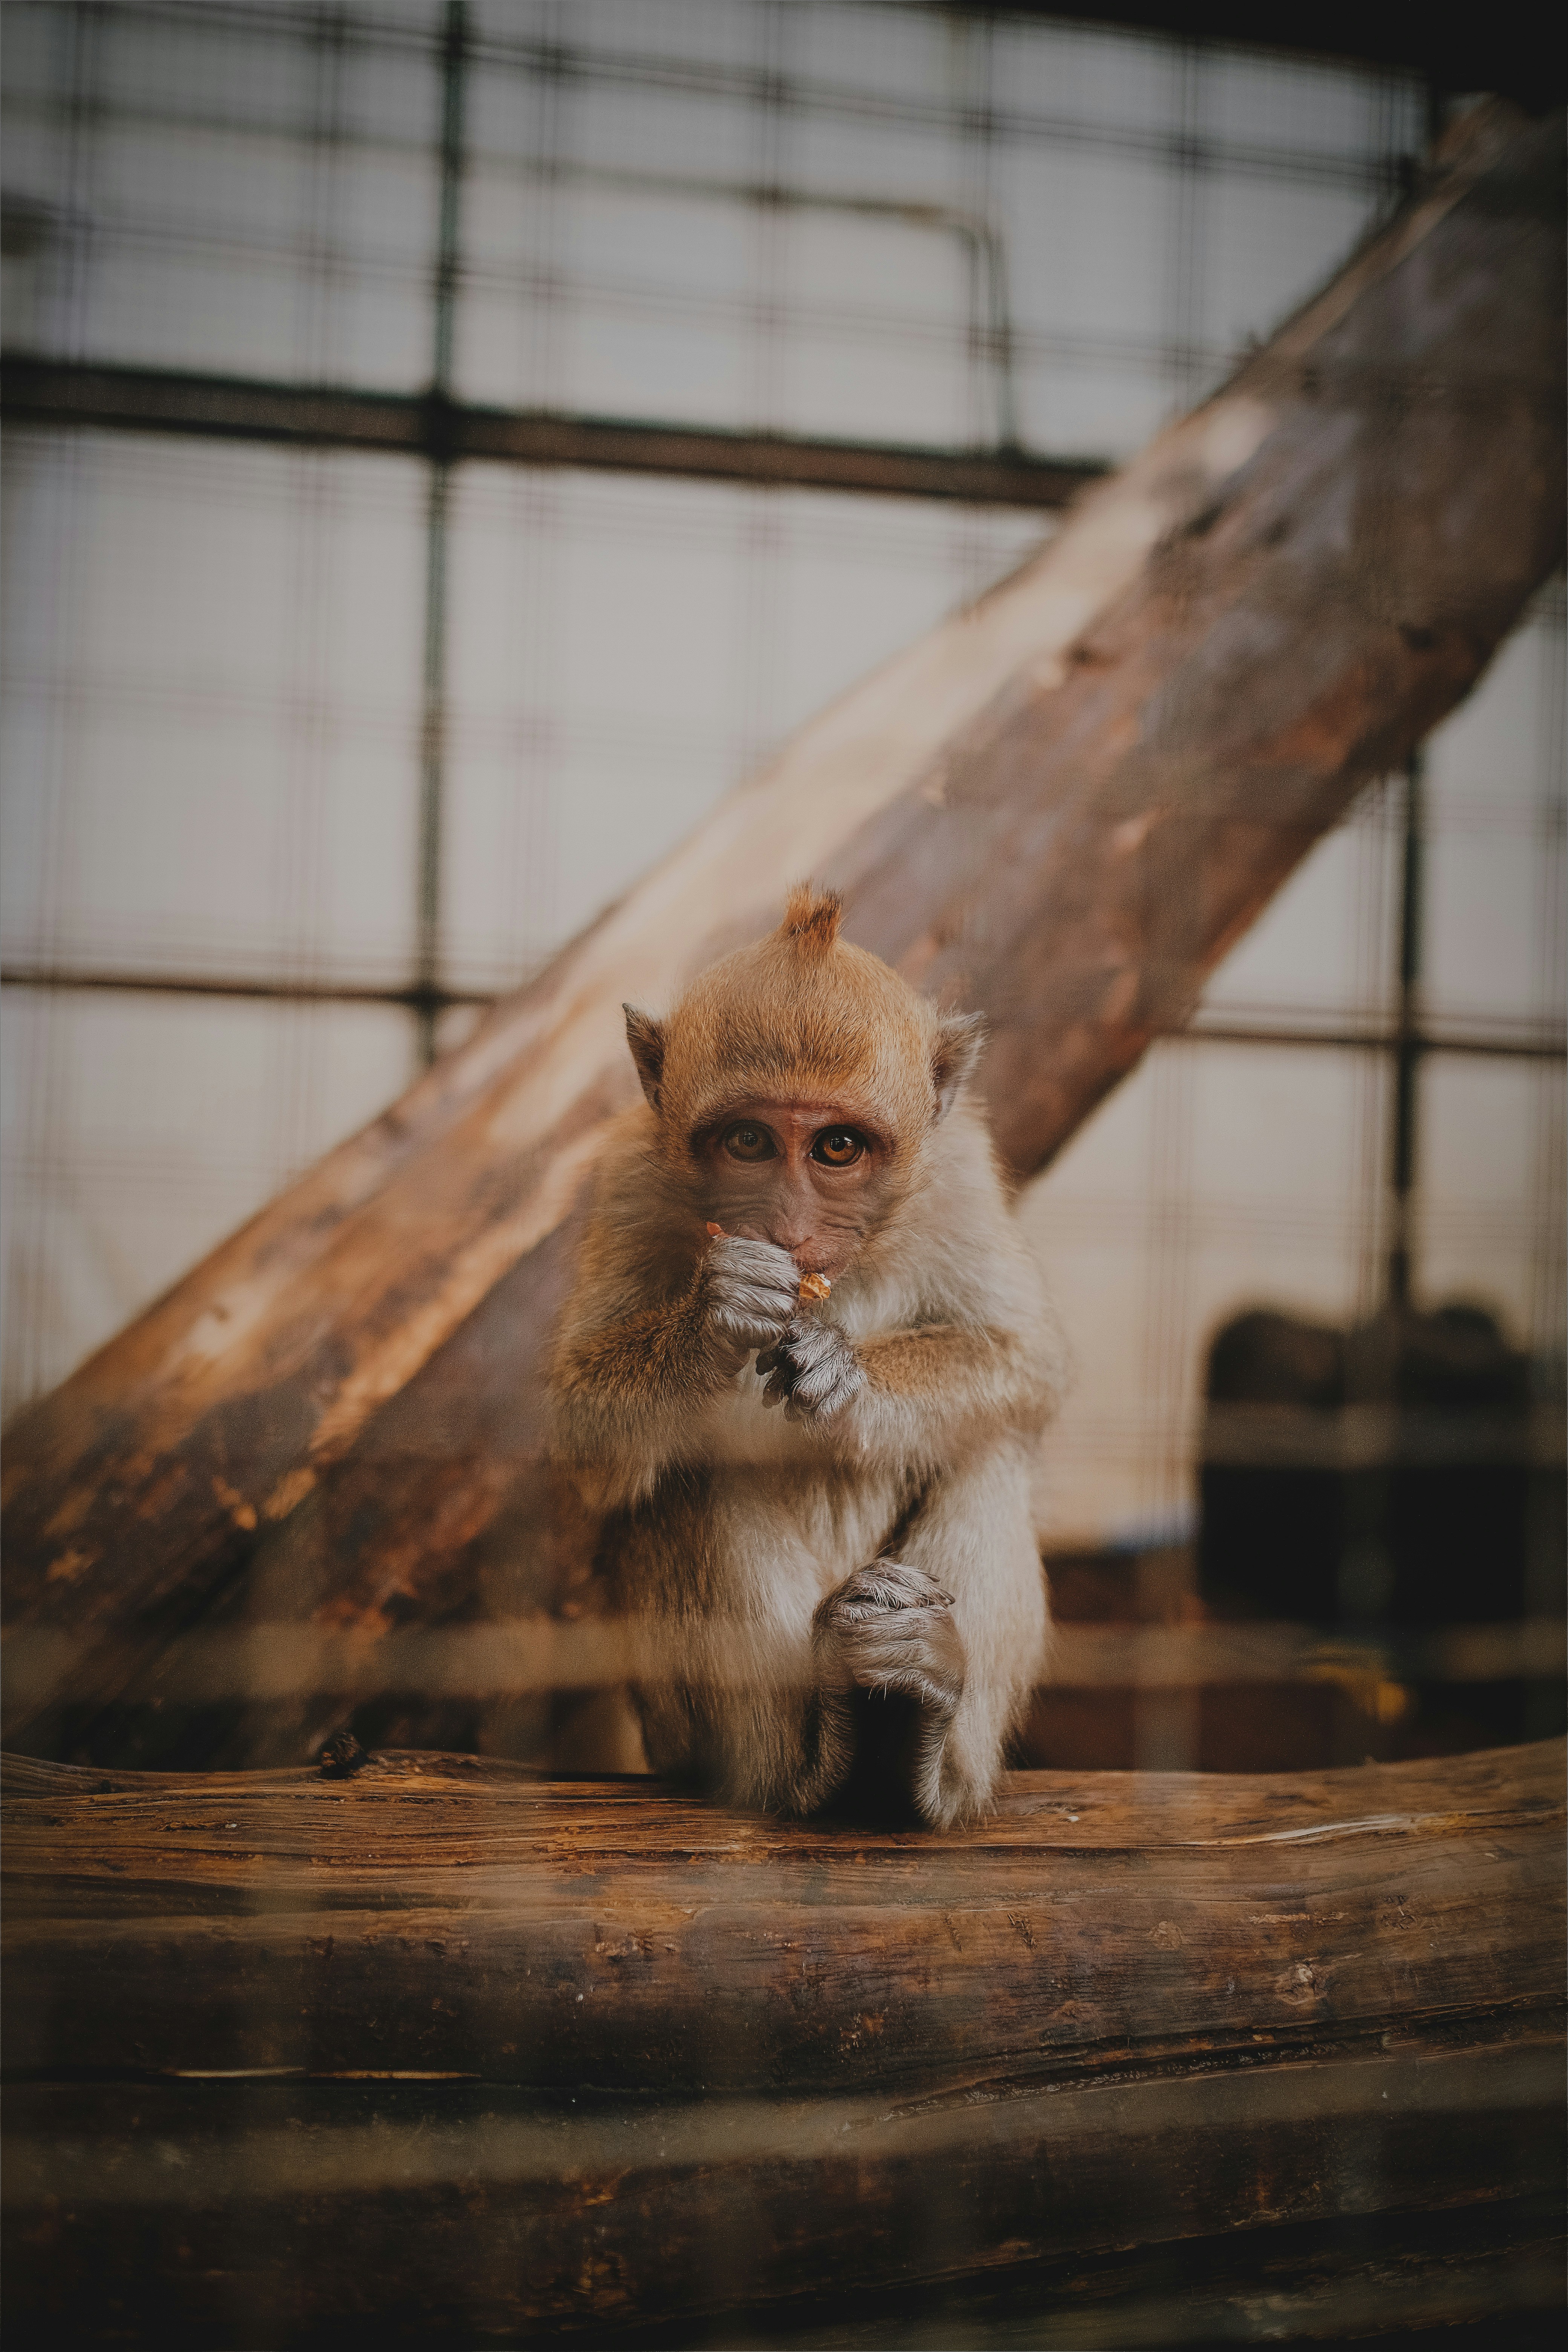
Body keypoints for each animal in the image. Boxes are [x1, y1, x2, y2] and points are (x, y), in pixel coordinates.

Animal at [547, 886, 1063, 1827]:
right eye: (749, 1142)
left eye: (837, 1148)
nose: (786, 1232)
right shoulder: (630, 1182)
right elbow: (583, 1442)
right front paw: (714, 1318)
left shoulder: (958, 1173)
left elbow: (1025, 1358)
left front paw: (848, 1378)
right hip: (676, 1731)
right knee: (683, 1479)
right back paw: (807, 1765)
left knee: (987, 1444)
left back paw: (922, 1733)